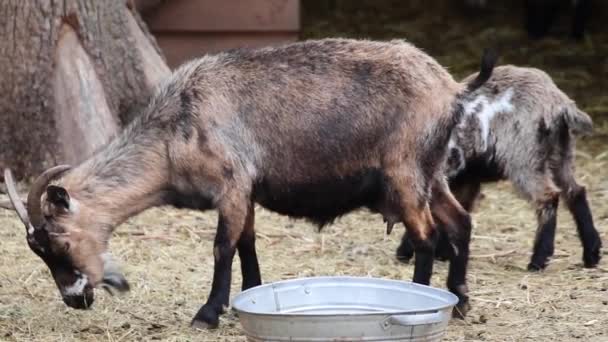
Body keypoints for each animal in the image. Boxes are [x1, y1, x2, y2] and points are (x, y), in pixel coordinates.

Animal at [3, 38, 494, 328]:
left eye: (58, 241)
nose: (74, 299)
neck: (175, 128)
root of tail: (451, 88)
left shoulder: (232, 185)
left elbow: (223, 247)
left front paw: (207, 313)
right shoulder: (248, 193)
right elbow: (247, 244)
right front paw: (248, 297)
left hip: (404, 172)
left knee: (427, 235)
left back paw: (425, 299)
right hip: (430, 173)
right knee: (460, 221)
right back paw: (460, 301)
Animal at [396, 65, 600, 272]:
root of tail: (559, 102)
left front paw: (407, 251)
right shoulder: (465, 179)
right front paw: (443, 252)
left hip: (523, 158)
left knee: (548, 197)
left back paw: (538, 260)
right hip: (561, 153)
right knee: (575, 192)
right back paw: (591, 254)